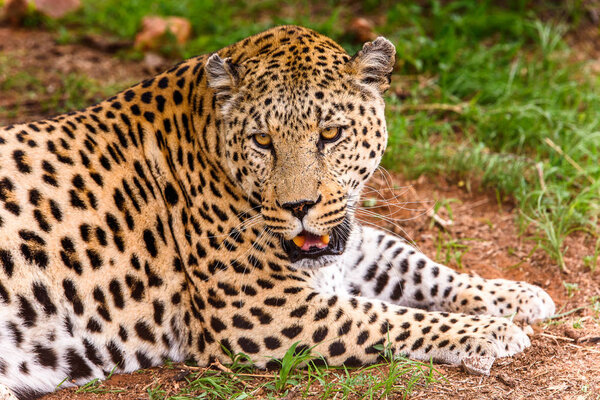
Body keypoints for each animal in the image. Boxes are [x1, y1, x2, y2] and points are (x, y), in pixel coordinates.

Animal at [0, 26, 556, 398]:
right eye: (262, 141)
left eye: (330, 134)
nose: (299, 206)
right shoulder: (264, 308)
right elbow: (387, 317)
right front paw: (490, 332)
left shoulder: (343, 239)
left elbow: (414, 263)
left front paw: (516, 295)